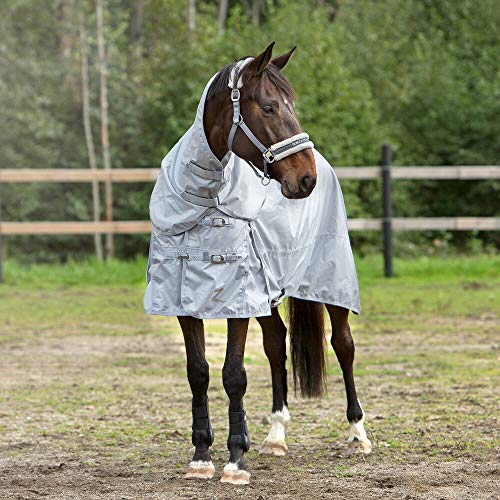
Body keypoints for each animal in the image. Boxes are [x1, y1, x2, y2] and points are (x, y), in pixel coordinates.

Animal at [145, 42, 372, 484]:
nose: (305, 179)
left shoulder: (237, 300)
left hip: (330, 280)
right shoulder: (184, 301)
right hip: (266, 295)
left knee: (343, 345)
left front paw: (235, 460)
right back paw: (276, 434)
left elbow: (234, 375)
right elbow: (198, 371)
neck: (203, 202)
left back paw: (358, 432)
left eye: (292, 105)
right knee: (276, 344)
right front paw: (201, 455)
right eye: (269, 107)